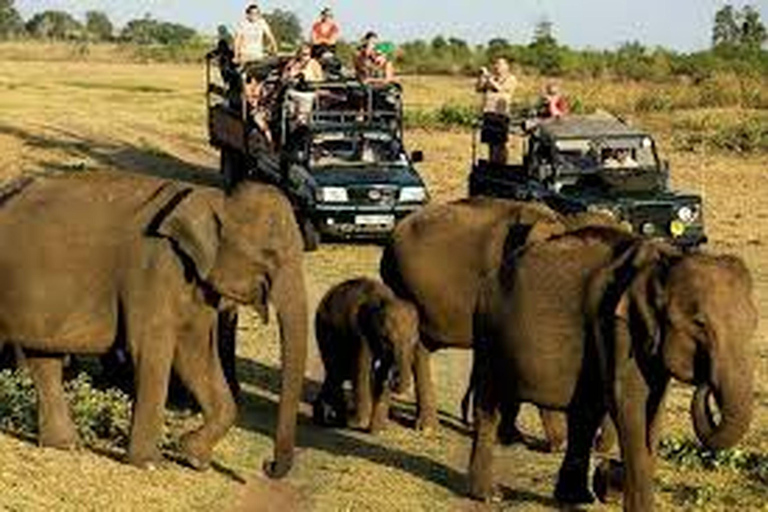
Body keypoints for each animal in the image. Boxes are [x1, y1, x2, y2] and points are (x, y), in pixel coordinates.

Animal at [0, 171, 308, 476]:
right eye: (270, 254)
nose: (267, 465)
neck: (213, 197)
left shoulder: (194, 284)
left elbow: (196, 355)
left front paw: (193, 456)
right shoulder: (153, 270)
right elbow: (152, 351)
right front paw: (150, 463)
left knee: (44, 357)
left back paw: (66, 445)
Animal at [314, 278, 420, 434]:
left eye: (414, 341)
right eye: (386, 340)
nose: (394, 379)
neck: (385, 299)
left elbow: (381, 374)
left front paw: (377, 430)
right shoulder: (360, 334)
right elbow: (361, 370)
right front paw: (359, 422)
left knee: (336, 375)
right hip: (324, 330)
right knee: (336, 372)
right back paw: (337, 421)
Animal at [380, 196, 616, 444]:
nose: (599, 445)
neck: (562, 219)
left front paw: (513, 435)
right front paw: (547, 441)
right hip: (401, 285)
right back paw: (428, 428)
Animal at [468, 228, 756, 512]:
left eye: (753, 321)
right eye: (699, 324)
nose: (706, 383)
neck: (664, 262)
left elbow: (653, 409)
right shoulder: (616, 325)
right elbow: (629, 404)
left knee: (584, 413)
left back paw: (574, 498)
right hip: (487, 332)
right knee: (489, 402)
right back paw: (488, 496)